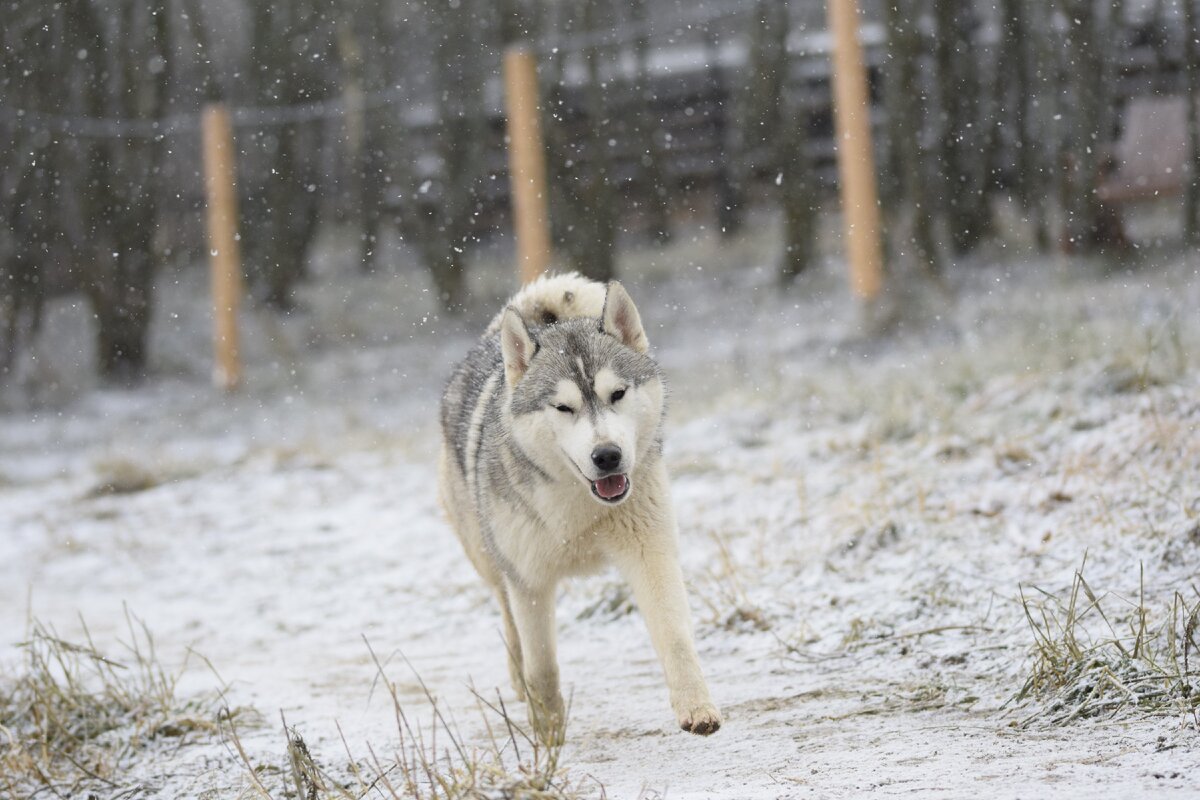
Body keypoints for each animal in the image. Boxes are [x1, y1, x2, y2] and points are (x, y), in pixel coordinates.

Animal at [441, 273, 720, 738]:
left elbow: (675, 639)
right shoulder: (529, 581)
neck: (579, 504)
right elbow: (542, 668)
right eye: (563, 407)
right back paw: (517, 682)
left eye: (618, 394)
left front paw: (696, 708)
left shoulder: (651, 554)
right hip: (488, 555)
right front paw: (547, 736)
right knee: (507, 615)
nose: (606, 456)